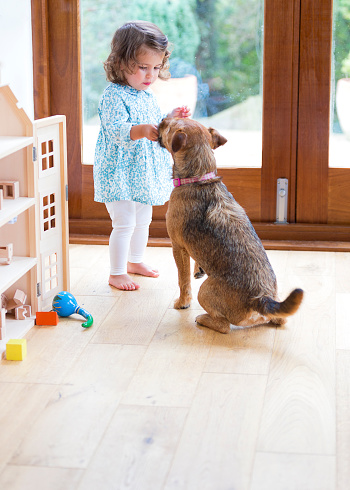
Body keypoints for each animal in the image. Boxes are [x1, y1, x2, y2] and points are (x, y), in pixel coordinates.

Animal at [159, 117, 304, 334]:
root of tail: (260, 299)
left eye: (169, 126)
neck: (200, 177)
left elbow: (183, 280)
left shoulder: (178, 247)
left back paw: (203, 319)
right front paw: (198, 268)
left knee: (223, 326)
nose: (162, 119)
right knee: (280, 319)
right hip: (274, 309)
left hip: (205, 291)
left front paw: (182, 302)